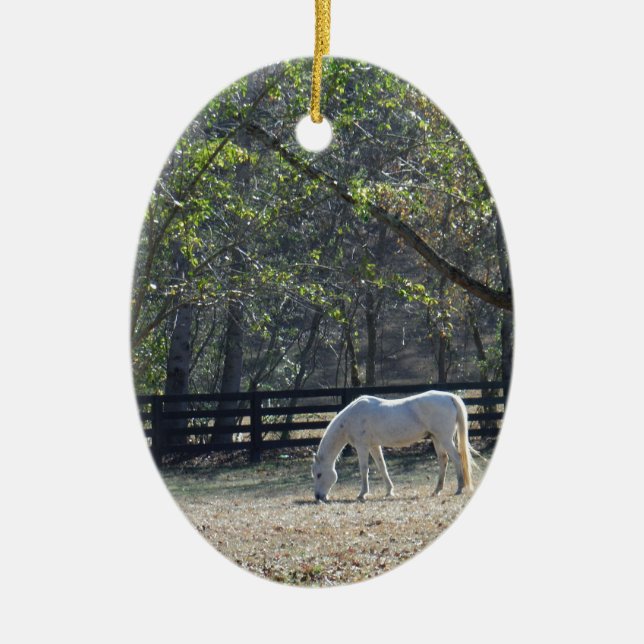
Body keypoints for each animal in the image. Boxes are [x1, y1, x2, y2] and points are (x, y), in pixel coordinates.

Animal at [311, 390, 478, 502]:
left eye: (319, 474)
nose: (318, 497)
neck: (352, 417)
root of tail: (450, 397)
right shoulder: (374, 446)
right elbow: (382, 467)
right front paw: (389, 491)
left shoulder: (362, 446)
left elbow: (364, 469)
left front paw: (362, 494)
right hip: (437, 438)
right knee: (443, 460)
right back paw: (437, 490)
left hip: (444, 438)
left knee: (457, 458)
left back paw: (459, 488)